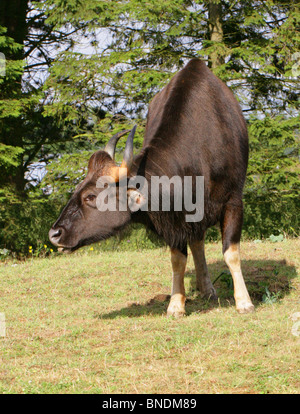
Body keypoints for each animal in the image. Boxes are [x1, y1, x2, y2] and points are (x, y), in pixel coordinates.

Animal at [48, 59, 253, 316]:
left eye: (91, 196)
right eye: (77, 191)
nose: (54, 234)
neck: (198, 153)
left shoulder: (233, 202)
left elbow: (231, 253)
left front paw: (244, 301)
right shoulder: (173, 217)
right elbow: (177, 260)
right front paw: (176, 303)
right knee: (197, 243)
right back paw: (206, 288)